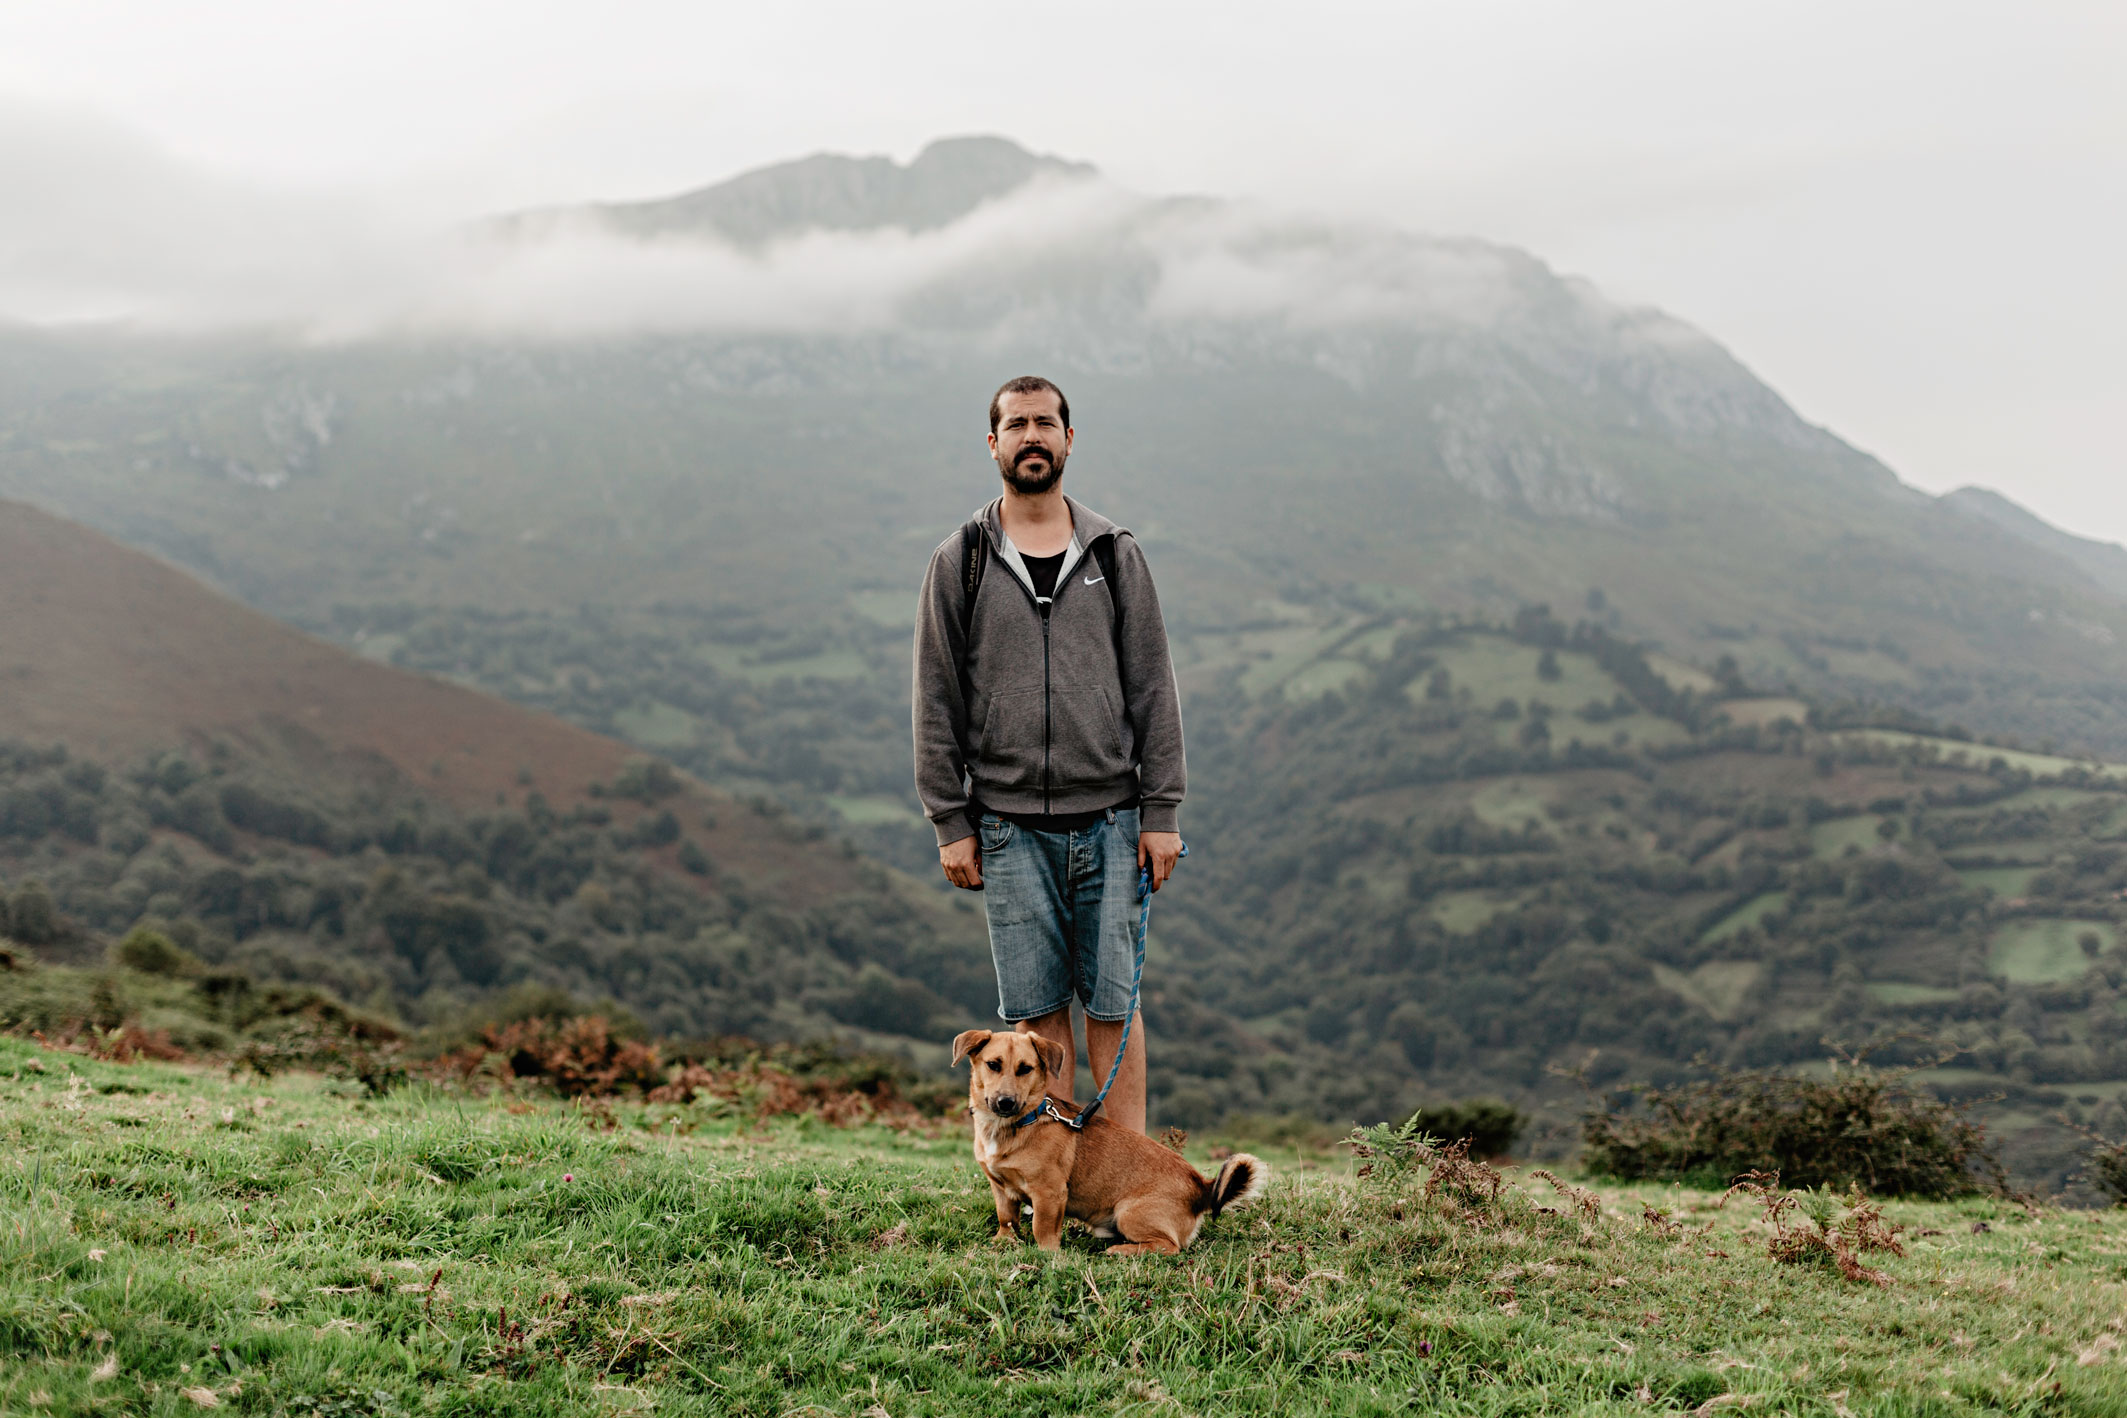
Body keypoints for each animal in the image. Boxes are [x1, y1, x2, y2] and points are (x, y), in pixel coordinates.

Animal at [948, 1033, 1259, 1250]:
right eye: (993, 1065)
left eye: (1026, 1069)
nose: (1006, 1102)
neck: (1018, 1124)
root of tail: (1202, 1187)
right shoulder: (1000, 1187)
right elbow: (1006, 1218)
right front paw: (1003, 1241)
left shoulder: (1050, 1193)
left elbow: (1042, 1230)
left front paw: (1046, 1256)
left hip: (1128, 1213)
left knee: (1169, 1246)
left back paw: (1121, 1251)